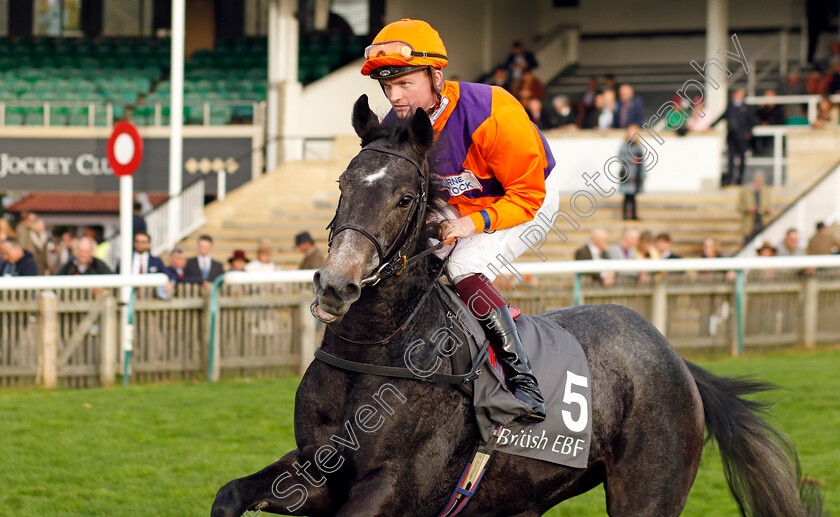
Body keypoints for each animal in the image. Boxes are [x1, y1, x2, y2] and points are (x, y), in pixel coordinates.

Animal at [210, 93, 820, 516]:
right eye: (342, 182)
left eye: (405, 197)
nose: (336, 285)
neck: (379, 346)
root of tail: (678, 362)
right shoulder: (317, 469)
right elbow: (230, 494)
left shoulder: (392, 487)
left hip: (648, 490)